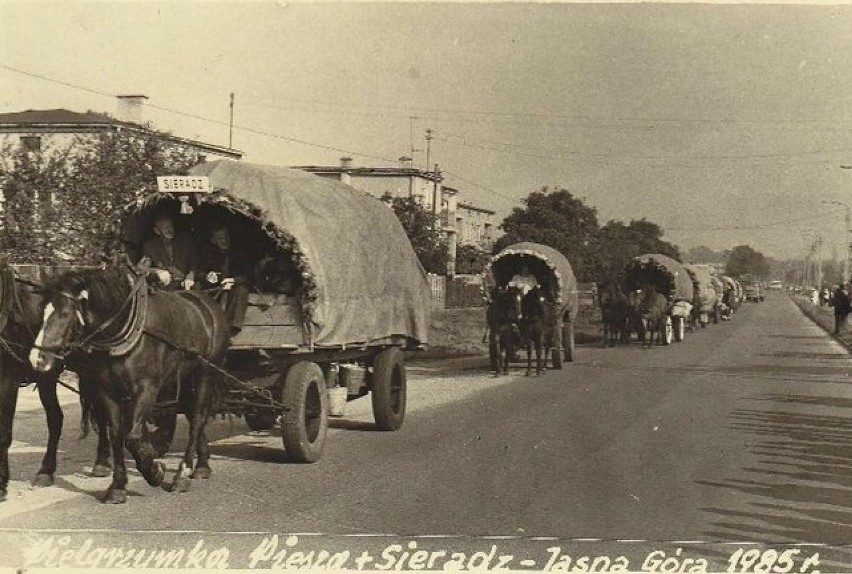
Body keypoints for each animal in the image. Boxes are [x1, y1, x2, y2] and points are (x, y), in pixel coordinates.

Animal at [0, 266, 111, 504]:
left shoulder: (8, 379)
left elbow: (4, 431)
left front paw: (2, 485)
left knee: (97, 413)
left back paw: (100, 462)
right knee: (59, 417)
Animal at [30, 268, 230, 506]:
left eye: (64, 313)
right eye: (40, 311)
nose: (37, 359)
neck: (125, 330)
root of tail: (208, 303)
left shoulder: (147, 390)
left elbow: (132, 437)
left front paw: (154, 471)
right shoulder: (107, 392)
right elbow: (117, 434)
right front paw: (117, 487)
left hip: (205, 372)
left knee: (198, 418)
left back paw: (183, 474)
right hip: (182, 378)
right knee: (192, 416)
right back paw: (202, 465)